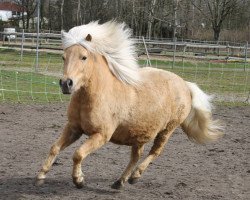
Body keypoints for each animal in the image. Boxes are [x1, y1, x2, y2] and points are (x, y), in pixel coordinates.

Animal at [36, 20, 224, 189]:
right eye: (63, 57)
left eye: (84, 57)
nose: (66, 83)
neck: (96, 96)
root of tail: (185, 84)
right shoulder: (74, 129)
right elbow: (54, 148)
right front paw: (41, 175)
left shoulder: (101, 135)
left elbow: (78, 154)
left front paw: (79, 180)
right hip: (140, 133)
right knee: (135, 156)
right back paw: (120, 182)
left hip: (167, 130)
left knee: (154, 152)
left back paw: (135, 176)